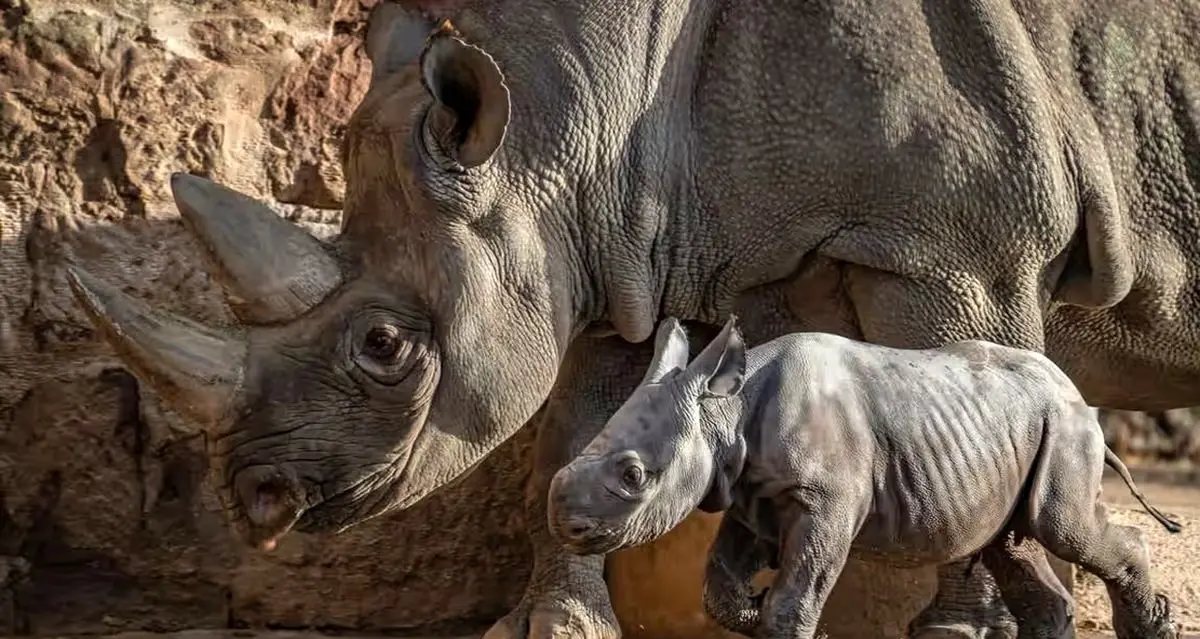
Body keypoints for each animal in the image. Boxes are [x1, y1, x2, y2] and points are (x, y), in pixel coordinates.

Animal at [547, 317, 1180, 634]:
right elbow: (719, 584)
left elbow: (797, 594)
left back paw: (1153, 628)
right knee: (1014, 544)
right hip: (1023, 428)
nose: (564, 524)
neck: (725, 411)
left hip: (1065, 424)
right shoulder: (752, 495)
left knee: (1062, 528)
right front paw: (750, 611)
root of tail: (1079, 396)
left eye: (634, 475)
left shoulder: (822, 501)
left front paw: (776, 615)